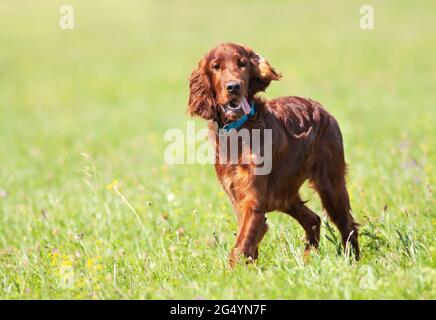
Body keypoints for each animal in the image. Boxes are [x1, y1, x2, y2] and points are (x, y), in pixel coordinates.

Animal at [186, 43, 360, 268]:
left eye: (242, 64)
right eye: (216, 66)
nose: (234, 86)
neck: (239, 130)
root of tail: (322, 109)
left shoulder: (252, 200)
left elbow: (241, 246)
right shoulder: (238, 197)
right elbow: (249, 242)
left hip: (330, 185)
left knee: (346, 224)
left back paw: (353, 261)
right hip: (284, 195)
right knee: (313, 220)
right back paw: (306, 260)